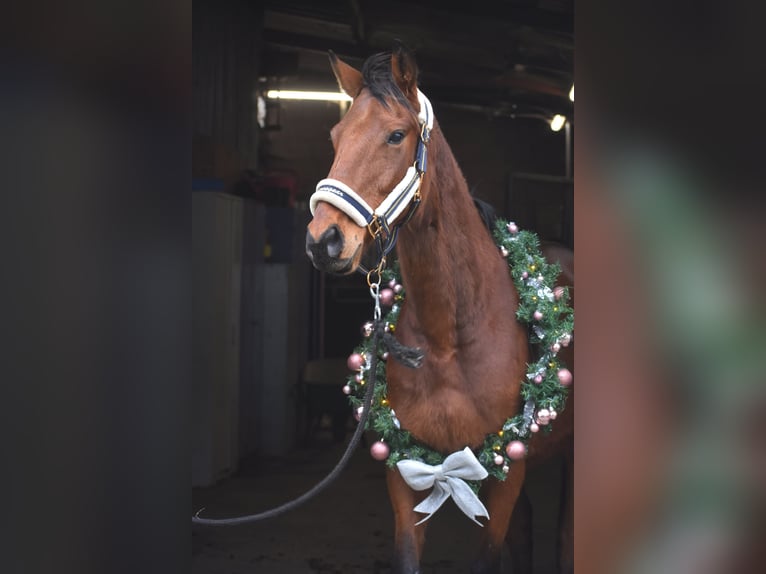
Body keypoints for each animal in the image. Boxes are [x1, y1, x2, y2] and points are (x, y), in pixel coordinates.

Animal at [308, 46, 576, 574]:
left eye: (396, 135)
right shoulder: (403, 470)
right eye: (335, 136)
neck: (451, 337)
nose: (323, 239)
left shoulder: (506, 471)